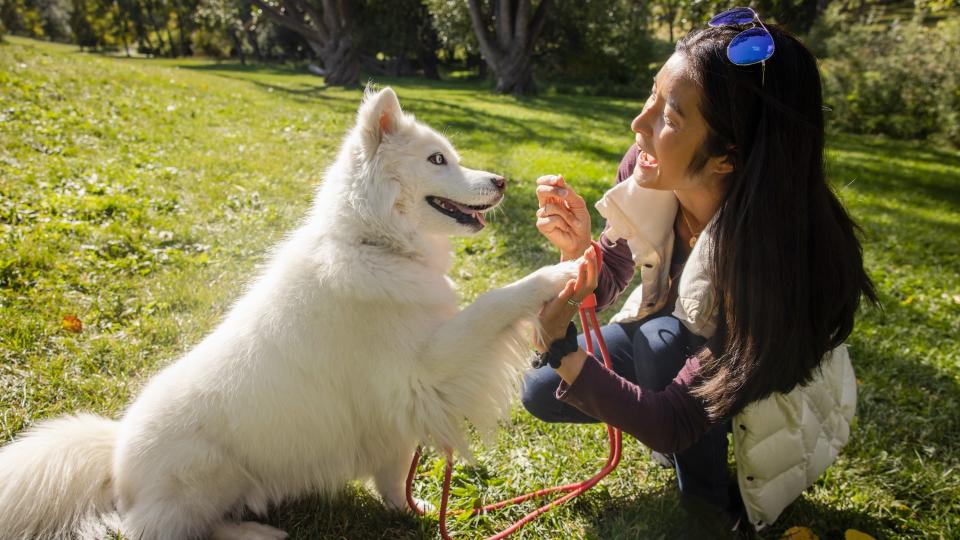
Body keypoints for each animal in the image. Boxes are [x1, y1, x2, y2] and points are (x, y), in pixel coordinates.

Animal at [0, 86, 572, 536]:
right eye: (437, 160)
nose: (501, 181)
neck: (373, 243)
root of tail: (116, 454)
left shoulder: (394, 413)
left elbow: (392, 476)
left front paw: (416, 510)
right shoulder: (423, 370)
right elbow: (493, 303)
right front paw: (558, 272)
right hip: (209, 471)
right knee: (165, 530)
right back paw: (257, 532)